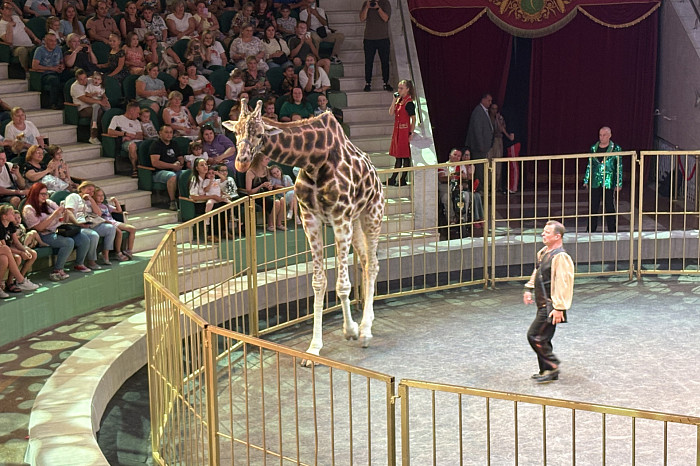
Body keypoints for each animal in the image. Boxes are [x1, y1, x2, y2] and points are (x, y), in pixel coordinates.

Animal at [225, 100, 385, 366]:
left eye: (259, 134)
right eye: (235, 132)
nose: (241, 162)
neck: (314, 160)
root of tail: (378, 178)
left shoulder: (340, 217)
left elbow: (342, 285)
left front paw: (350, 330)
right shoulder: (310, 218)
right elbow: (318, 282)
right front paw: (313, 349)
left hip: (372, 215)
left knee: (373, 265)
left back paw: (365, 332)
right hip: (356, 222)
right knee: (364, 262)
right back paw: (364, 324)